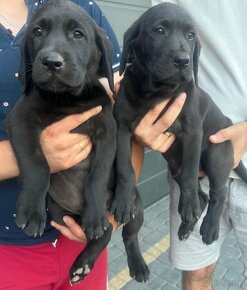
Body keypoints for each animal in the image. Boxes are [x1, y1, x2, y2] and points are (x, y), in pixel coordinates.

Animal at [5, 0, 149, 284]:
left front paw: (94, 215)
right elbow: (37, 165)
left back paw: (131, 262)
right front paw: (31, 213)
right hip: (59, 213)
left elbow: (97, 176)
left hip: (135, 204)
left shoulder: (107, 131)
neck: (67, 100)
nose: (51, 62)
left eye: (78, 34)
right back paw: (82, 264)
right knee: (106, 233)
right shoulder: (20, 120)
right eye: (37, 32)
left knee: (125, 234)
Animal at [113, 3, 247, 246]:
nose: (183, 61)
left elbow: (191, 169)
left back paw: (208, 226)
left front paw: (189, 207)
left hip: (217, 152)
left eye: (191, 35)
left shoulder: (192, 131)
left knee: (217, 192)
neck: (156, 92)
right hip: (176, 165)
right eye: (159, 31)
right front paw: (124, 201)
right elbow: (125, 168)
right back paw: (187, 226)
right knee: (202, 194)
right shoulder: (123, 127)